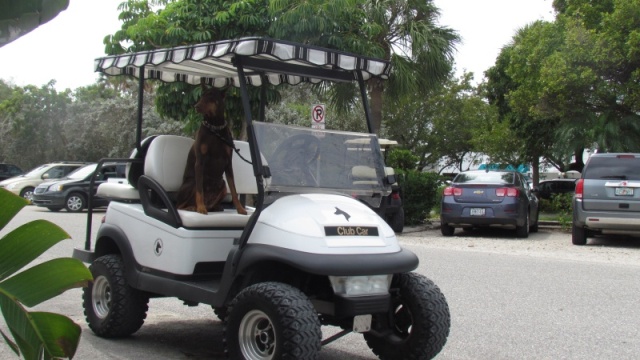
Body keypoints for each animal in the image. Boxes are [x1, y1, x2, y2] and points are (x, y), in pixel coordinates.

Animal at [176, 84, 249, 215]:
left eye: (211, 96)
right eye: (201, 96)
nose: (196, 106)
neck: (215, 128)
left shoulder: (228, 163)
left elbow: (234, 189)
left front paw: (240, 208)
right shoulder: (200, 162)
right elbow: (200, 190)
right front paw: (201, 208)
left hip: (223, 185)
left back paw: (215, 207)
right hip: (192, 183)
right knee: (179, 205)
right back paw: (194, 207)